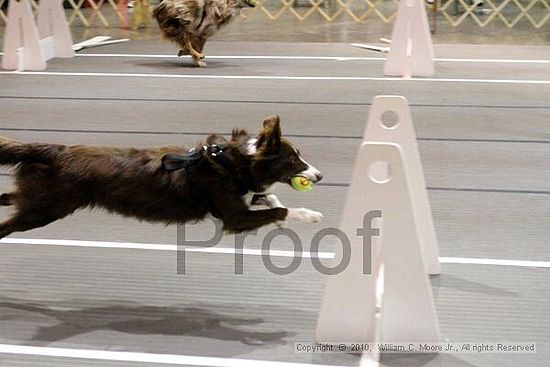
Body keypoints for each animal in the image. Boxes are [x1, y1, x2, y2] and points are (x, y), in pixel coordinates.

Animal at [0, 116, 324, 240]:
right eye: (293, 159)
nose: (319, 176)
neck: (234, 162)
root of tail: (54, 149)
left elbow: (269, 197)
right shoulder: (233, 216)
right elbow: (279, 208)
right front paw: (307, 215)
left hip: (40, 200)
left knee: (8, 197)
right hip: (45, 208)